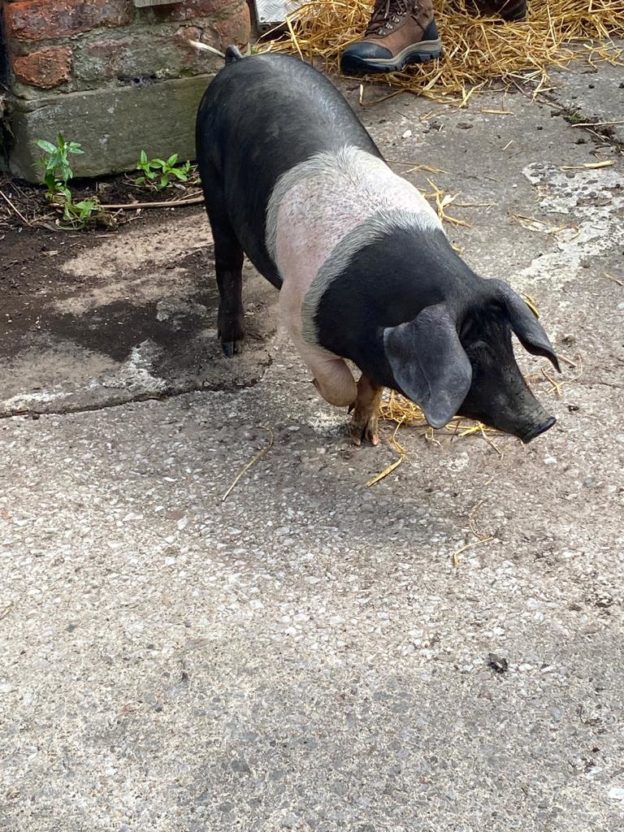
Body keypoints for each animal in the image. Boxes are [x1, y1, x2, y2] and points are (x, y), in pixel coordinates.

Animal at [196, 48, 560, 446]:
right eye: (473, 358)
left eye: (508, 342)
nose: (543, 421)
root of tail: (239, 60)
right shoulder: (295, 311)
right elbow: (336, 383)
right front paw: (331, 395)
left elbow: (374, 382)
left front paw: (365, 435)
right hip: (211, 182)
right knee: (227, 261)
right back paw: (231, 346)